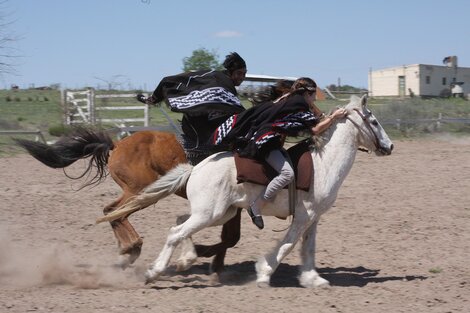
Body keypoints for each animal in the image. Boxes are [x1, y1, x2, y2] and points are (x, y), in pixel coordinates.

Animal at [14, 128, 242, 272]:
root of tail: (116, 145)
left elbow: (231, 237)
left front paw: (215, 263)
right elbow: (231, 238)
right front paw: (203, 255)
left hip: (136, 191)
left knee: (111, 211)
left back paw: (127, 250)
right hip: (140, 191)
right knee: (115, 212)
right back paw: (132, 246)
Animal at [101, 95, 394, 288]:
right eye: (374, 121)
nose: (389, 146)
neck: (323, 163)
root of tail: (195, 169)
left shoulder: (313, 217)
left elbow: (308, 248)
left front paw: (313, 279)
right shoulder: (303, 216)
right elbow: (288, 244)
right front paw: (264, 272)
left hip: (219, 213)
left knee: (179, 223)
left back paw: (185, 259)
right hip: (210, 213)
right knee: (175, 232)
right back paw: (153, 272)